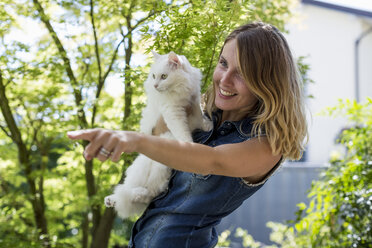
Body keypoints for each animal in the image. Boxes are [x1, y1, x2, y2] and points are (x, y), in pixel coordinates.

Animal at [104, 50, 212, 219]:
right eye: (154, 76)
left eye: (164, 76)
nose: (155, 85)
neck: (181, 87)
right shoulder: (173, 111)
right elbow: (182, 132)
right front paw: (190, 144)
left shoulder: (194, 101)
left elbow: (200, 115)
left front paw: (207, 125)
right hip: (146, 167)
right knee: (142, 192)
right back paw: (113, 199)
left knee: (150, 193)